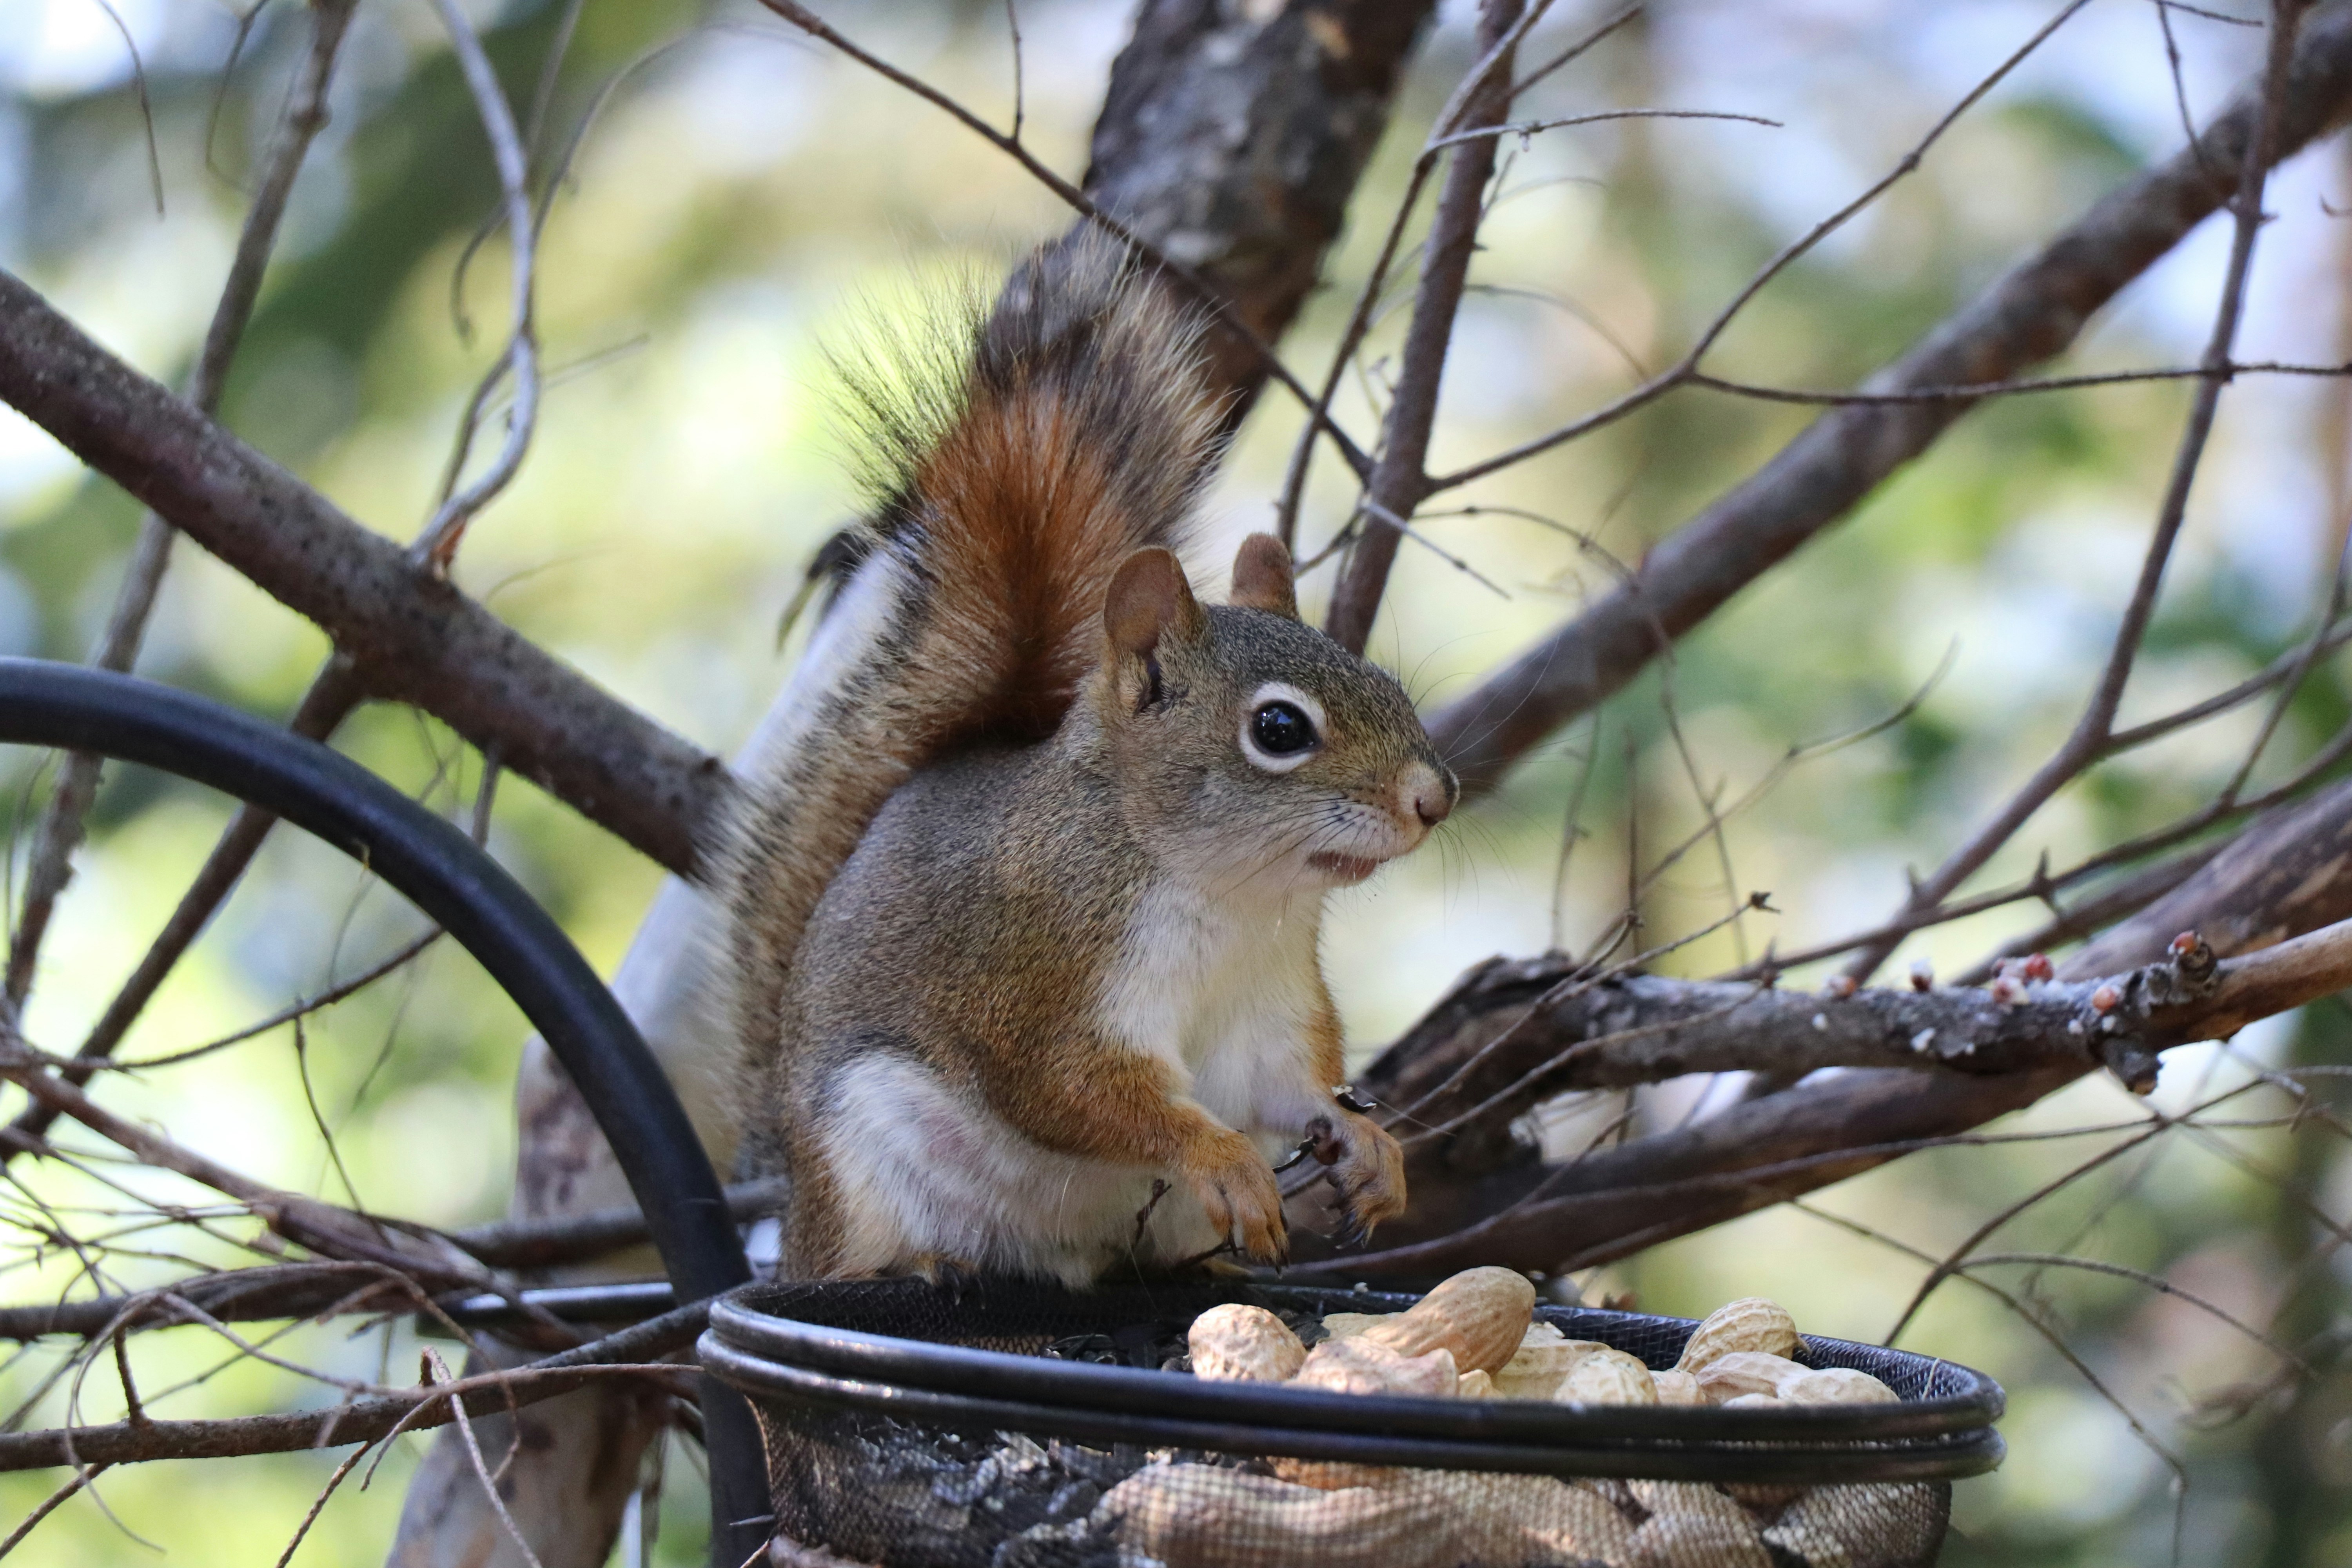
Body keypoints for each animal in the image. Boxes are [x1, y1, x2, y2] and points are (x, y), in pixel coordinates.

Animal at [716, 241, 1457, 1286]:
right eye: (1279, 728)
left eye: (1385, 681)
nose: (1435, 797)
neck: (1227, 896)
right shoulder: (1036, 978)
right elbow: (1077, 1089)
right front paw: (1221, 1156)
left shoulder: (1273, 1004)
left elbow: (1290, 1085)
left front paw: (1369, 1146)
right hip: (862, 1161)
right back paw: (914, 1265)